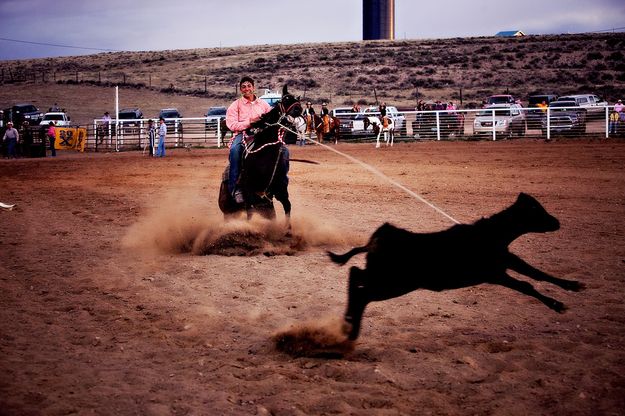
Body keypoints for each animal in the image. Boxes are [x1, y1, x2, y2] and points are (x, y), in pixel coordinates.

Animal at [217, 85, 302, 226]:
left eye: (298, 100)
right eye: (285, 99)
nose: (299, 109)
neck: (265, 155)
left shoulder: (279, 189)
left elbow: (287, 206)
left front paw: (288, 229)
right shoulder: (248, 190)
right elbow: (250, 214)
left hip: (266, 207)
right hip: (228, 212)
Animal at [330, 193, 584, 340]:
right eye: (536, 211)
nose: (557, 222)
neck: (491, 235)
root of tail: (375, 240)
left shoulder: (507, 261)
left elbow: (537, 273)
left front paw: (573, 285)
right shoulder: (494, 273)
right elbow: (526, 285)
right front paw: (557, 305)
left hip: (383, 278)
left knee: (355, 275)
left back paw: (349, 321)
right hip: (394, 283)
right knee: (362, 292)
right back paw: (352, 331)